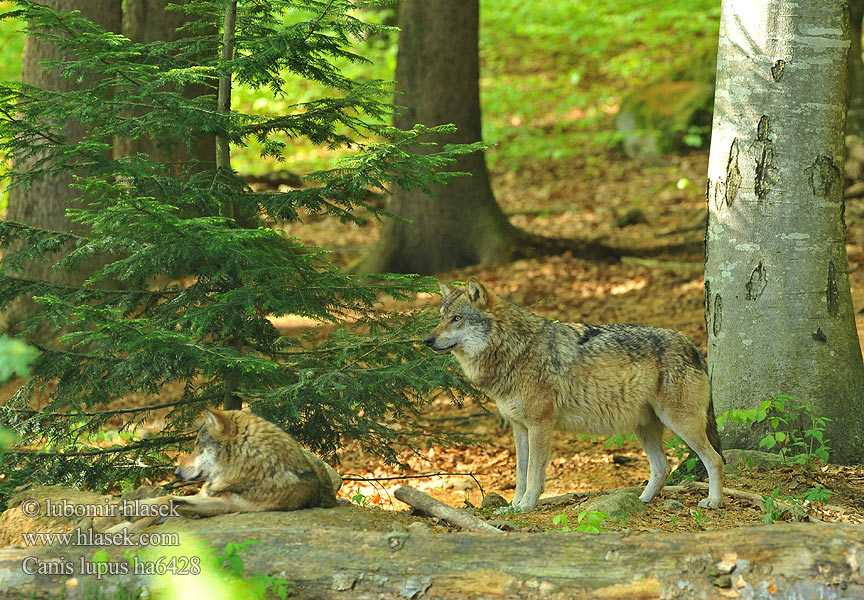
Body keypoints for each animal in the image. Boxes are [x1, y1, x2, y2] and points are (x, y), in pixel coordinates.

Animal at [426, 278, 724, 512]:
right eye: (440, 318)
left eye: (457, 318)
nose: (427, 340)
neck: (514, 350)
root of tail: (691, 344)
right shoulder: (519, 427)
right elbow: (520, 473)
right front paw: (513, 506)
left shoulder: (540, 425)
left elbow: (533, 473)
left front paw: (526, 506)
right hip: (644, 427)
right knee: (663, 467)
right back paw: (640, 501)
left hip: (680, 424)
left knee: (715, 460)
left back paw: (713, 501)